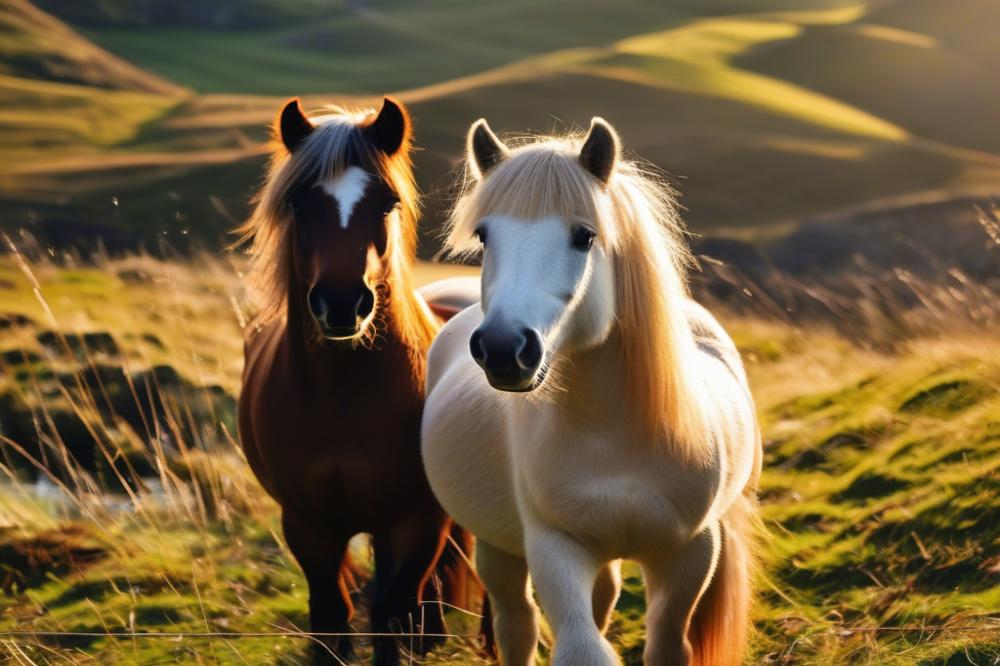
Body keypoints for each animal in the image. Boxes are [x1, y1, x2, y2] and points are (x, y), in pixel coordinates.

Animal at [238, 96, 480, 660]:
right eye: (300, 205)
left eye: (386, 203)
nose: (344, 302)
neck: (346, 397)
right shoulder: (307, 524)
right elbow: (333, 618)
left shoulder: (418, 518)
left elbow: (392, 613)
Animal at [420, 116, 756, 660]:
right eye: (485, 235)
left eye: (584, 236)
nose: (502, 348)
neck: (614, 434)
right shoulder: (555, 547)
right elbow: (581, 646)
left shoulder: (689, 553)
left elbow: (667, 644)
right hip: (497, 548)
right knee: (518, 625)